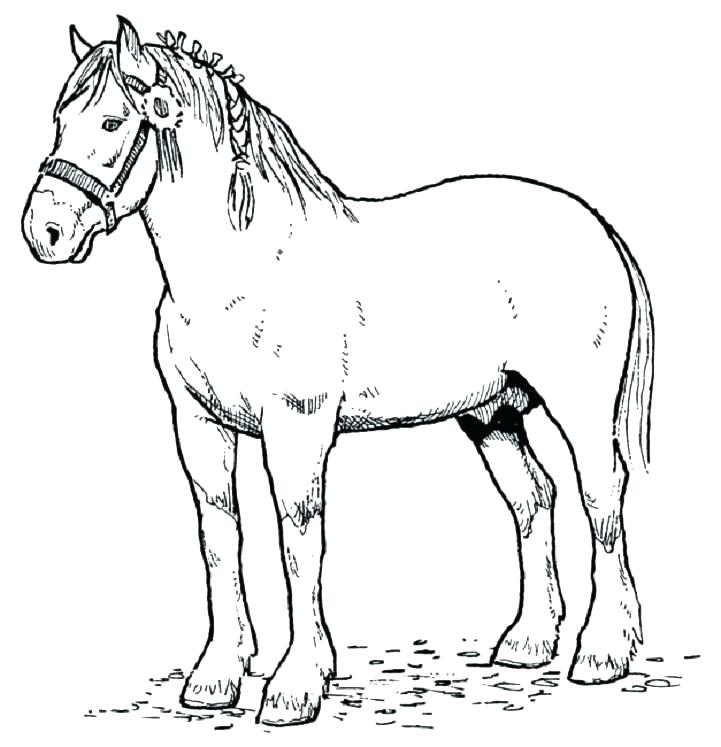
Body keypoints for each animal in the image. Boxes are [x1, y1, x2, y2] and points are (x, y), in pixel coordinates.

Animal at [21, 17, 654, 726]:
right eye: (59, 118)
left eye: (111, 122)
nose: (44, 230)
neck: (243, 269)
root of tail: (596, 227)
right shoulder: (199, 427)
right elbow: (220, 538)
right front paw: (218, 676)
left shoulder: (296, 427)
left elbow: (299, 541)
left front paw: (296, 683)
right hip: (490, 414)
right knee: (533, 497)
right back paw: (528, 642)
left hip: (582, 408)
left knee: (602, 497)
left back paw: (603, 652)